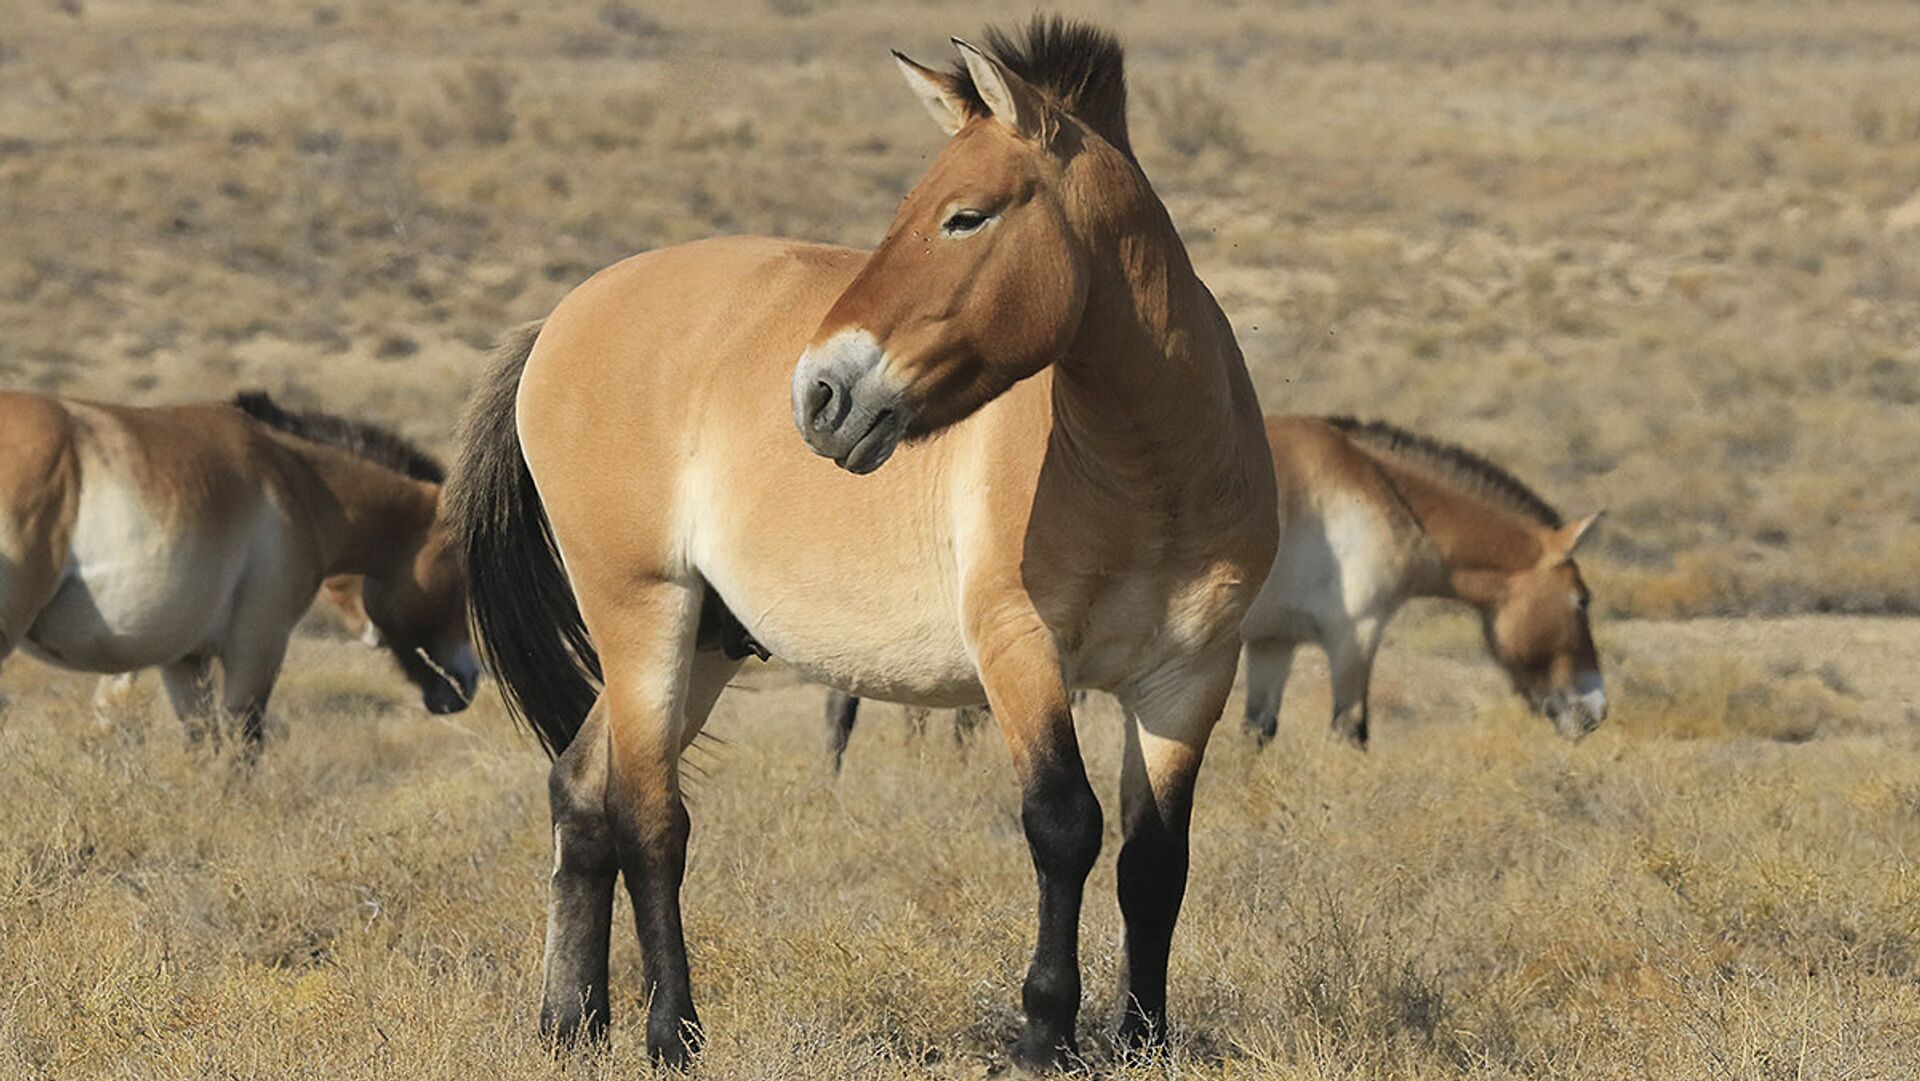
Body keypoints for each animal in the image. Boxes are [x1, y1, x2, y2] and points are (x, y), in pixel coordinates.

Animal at [0, 389, 479, 748]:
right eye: (461, 573)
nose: (468, 682)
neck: (296, 479)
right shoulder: (257, 648)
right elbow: (241, 747)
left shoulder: (185, 661)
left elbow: (201, 743)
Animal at [448, 18, 1277, 1070]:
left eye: (965, 217)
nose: (820, 394)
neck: (1146, 475)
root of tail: (559, 319)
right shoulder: (1020, 652)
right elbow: (1063, 826)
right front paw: (1043, 1033)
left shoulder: (1191, 678)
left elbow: (1154, 860)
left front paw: (1144, 1040)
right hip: (643, 612)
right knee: (651, 819)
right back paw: (671, 1032)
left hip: (708, 639)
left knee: (581, 791)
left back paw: (572, 1024)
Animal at [1243, 415, 1607, 747]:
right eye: (1581, 600)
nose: (1597, 710)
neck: (1371, 486)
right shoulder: (1354, 636)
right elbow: (1350, 733)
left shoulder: (1273, 642)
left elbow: (1256, 733)